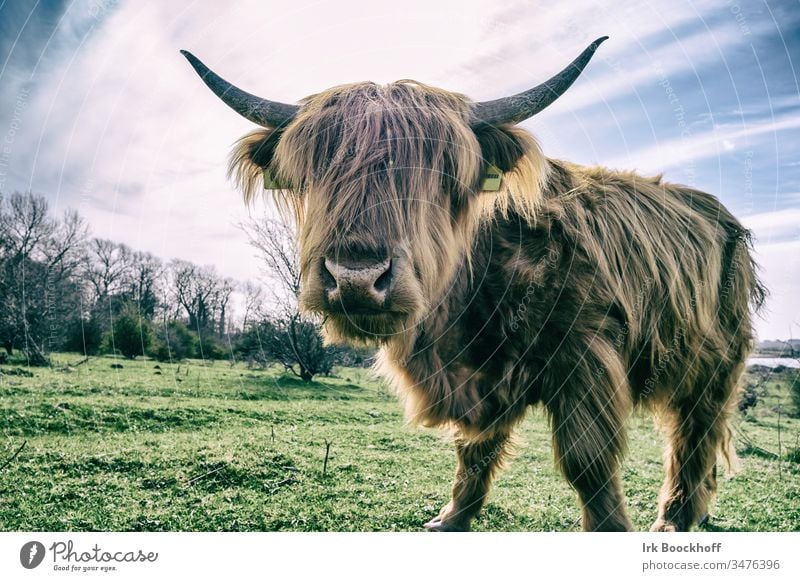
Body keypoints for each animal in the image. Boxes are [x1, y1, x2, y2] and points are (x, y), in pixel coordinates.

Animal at [184, 37, 764, 532]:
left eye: (438, 173)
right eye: (316, 171)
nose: (356, 278)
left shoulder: (586, 354)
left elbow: (588, 461)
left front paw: (610, 529)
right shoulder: (475, 371)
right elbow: (474, 446)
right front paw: (452, 517)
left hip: (717, 361)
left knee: (695, 431)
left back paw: (675, 517)